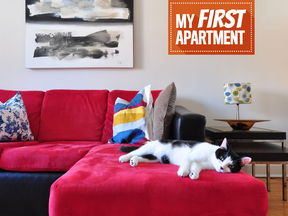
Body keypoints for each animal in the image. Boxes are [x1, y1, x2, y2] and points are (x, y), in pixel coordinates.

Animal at [118, 138, 251, 179]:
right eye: (222, 158)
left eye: (231, 166)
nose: (222, 167)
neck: (210, 158)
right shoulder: (191, 155)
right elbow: (187, 161)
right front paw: (183, 171)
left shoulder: (200, 164)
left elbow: (196, 166)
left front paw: (193, 174)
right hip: (148, 148)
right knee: (134, 152)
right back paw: (124, 157)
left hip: (154, 158)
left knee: (139, 156)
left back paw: (134, 161)